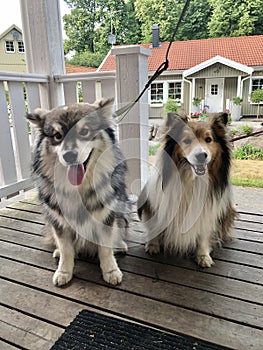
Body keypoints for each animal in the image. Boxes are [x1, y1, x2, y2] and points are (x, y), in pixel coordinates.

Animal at [26, 97, 133, 286]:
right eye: (57, 136)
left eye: (84, 131)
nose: (69, 155)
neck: (79, 188)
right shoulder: (59, 221)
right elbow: (66, 248)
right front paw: (64, 271)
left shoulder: (106, 217)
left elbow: (105, 248)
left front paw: (111, 270)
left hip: (124, 208)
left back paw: (119, 245)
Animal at [138, 113, 237, 266]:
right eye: (187, 140)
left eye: (208, 139)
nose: (201, 155)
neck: (192, 179)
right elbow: (154, 225)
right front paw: (153, 245)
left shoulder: (206, 213)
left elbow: (203, 235)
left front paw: (203, 256)